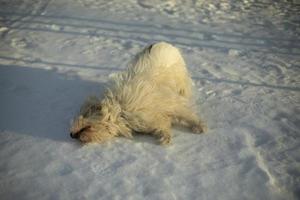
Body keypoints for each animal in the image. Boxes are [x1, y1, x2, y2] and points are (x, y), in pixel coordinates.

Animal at [69, 41, 206, 145]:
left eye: (86, 127)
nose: (71, 135)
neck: (121, 110)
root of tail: (164, 43)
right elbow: (162, 125)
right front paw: (165, 135)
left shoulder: (169, 103)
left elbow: (186, 114)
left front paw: (199, 126)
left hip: (180, 80)